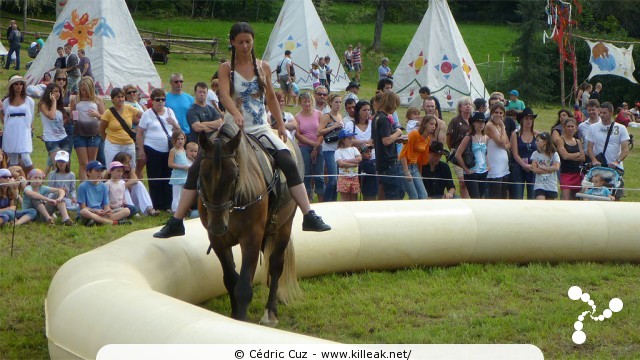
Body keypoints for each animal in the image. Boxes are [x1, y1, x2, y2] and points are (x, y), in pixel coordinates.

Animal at [198, 122, 300, 324]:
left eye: (234, 175)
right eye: (203, 174)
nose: (218, 225)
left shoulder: (251, 237)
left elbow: (244, 288)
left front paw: (242, 321)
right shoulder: (217, 241)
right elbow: (230, 279)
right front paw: (234, 316)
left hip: (284, 226)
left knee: (276, 265)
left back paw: (270, 313)